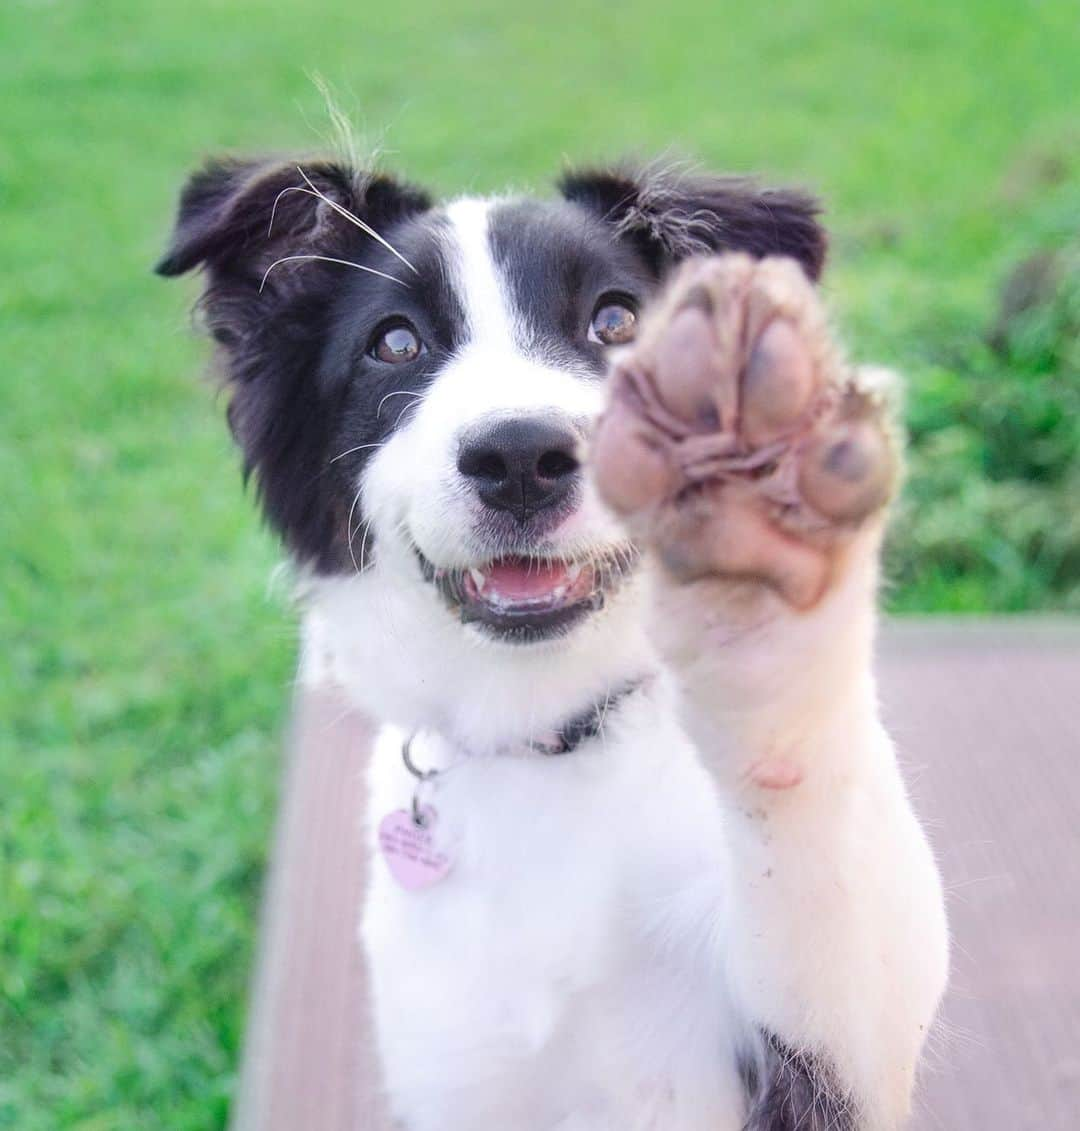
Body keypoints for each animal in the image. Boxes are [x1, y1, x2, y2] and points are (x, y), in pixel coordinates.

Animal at [158, 152, 945, 1131]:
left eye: (617, 320)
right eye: (395, 343)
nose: (519, 458)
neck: (549, 738)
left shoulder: (828, 1059)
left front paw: (759, 590)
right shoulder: (455, 1074)